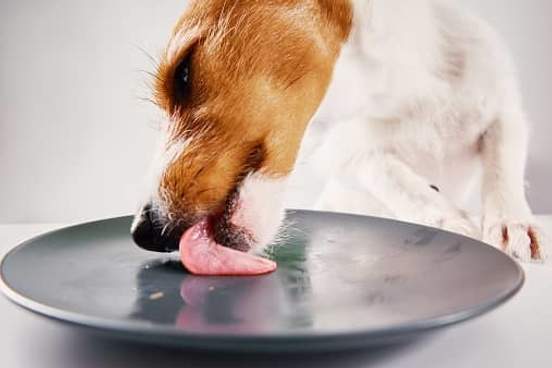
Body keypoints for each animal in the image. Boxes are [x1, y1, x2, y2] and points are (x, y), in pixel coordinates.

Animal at [132, 0, 544, 264]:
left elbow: (502, 168)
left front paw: (512, 225)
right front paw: (450, 219)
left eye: (183, 73)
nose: (142, 232)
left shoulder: (504, 112)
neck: (401, 94)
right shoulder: (347, 152)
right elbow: (392, 176)